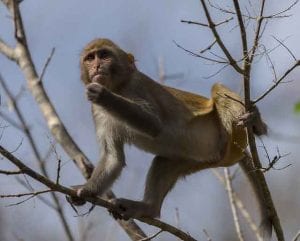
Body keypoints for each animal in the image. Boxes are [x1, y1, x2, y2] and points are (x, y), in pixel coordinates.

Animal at [72, 37, 272, 239]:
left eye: (104, 55)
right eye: (90, 58)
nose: (96, 66)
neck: (118, 87)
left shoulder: (136, 87)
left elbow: (153, 124)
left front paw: (103, 95)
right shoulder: (97, 113)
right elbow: (113, 158)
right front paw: (86, 190)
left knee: (218, 90)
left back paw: (254, 123)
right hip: (200, 159)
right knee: (164, 162)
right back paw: (148, 208)